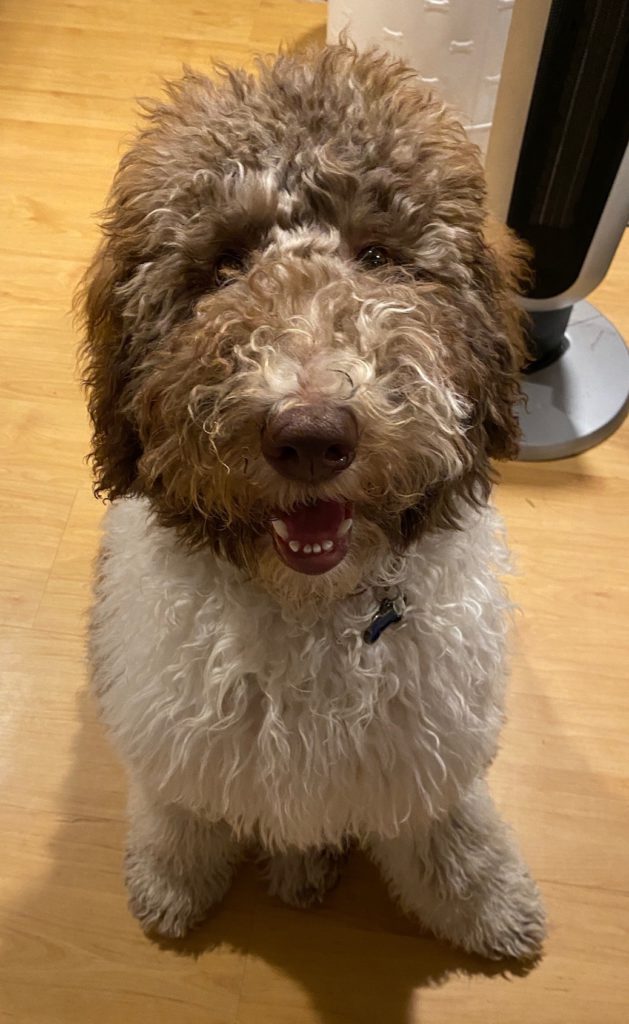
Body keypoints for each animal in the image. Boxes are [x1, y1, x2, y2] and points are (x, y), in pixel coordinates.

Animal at [81, 41, 549, 958]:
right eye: (224, 265)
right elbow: (181, 814)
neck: (313, 616)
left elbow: (452, 836)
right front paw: (168, 885)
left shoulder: (426, 748)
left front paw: (492, 910)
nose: (309, 436)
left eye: (377, 257)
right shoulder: (175, 728)